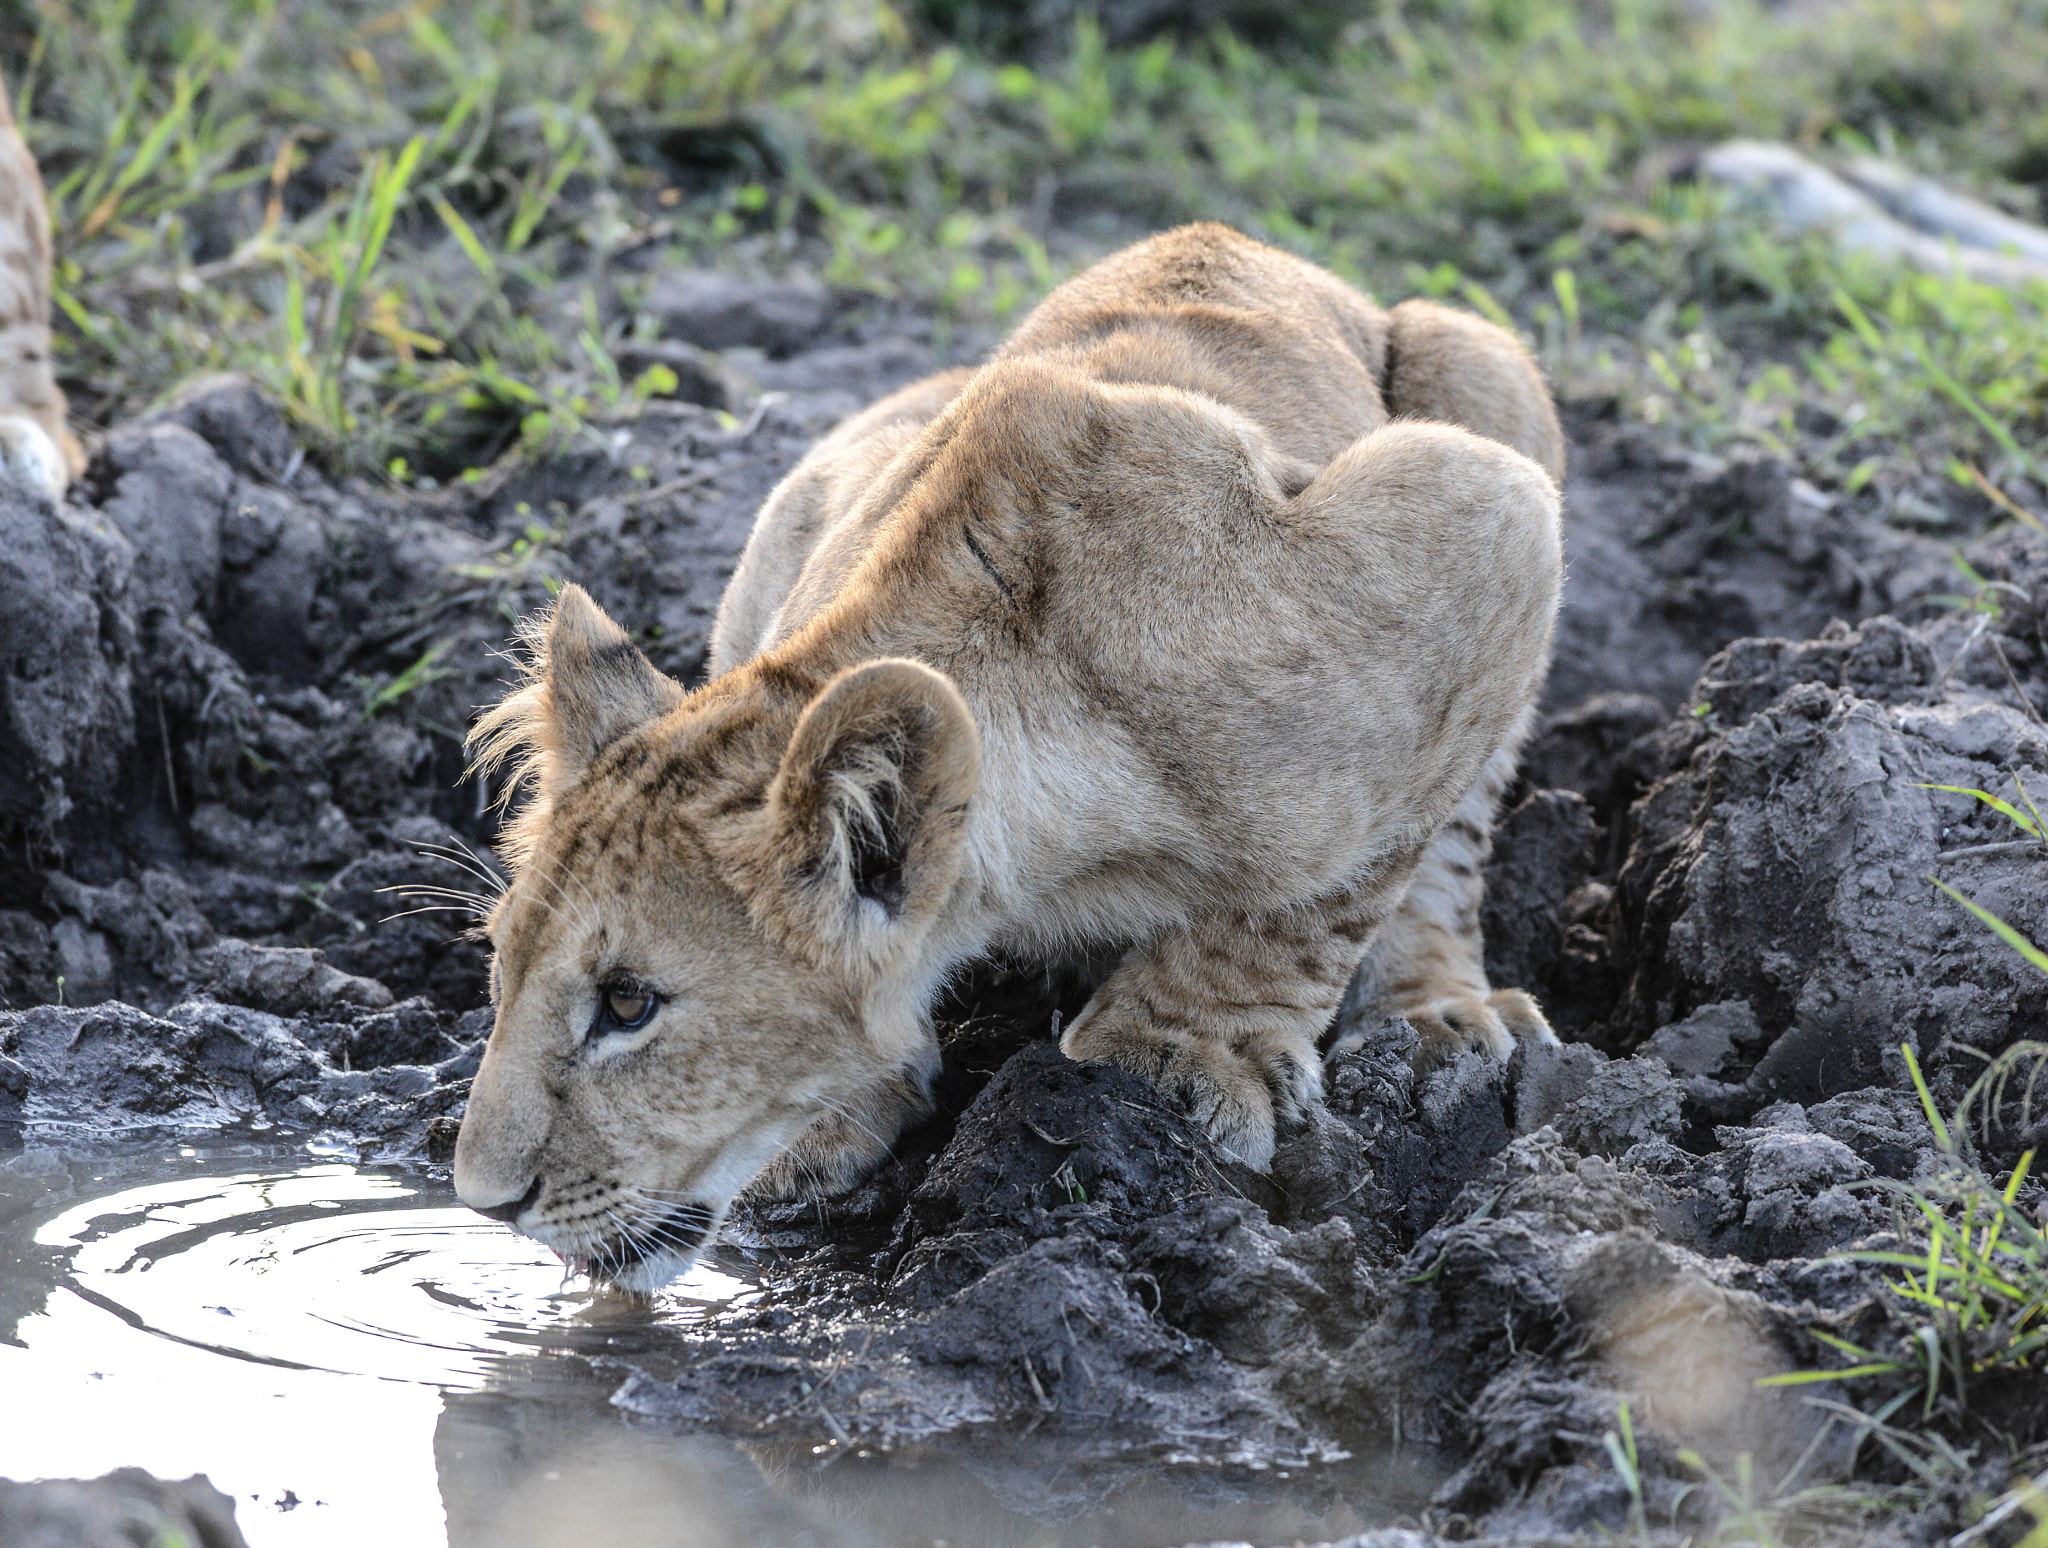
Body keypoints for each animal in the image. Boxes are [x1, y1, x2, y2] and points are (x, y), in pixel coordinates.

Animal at [456, 215, 1556, 1285]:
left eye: (627, 1003)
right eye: (500, 966)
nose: (482, 1203)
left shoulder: (1477, 511)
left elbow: (1323, 893)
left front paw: (1172, 1057)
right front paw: (828, 1125)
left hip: (1481, 366)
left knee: (1454, 835)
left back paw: (1438, 1014)